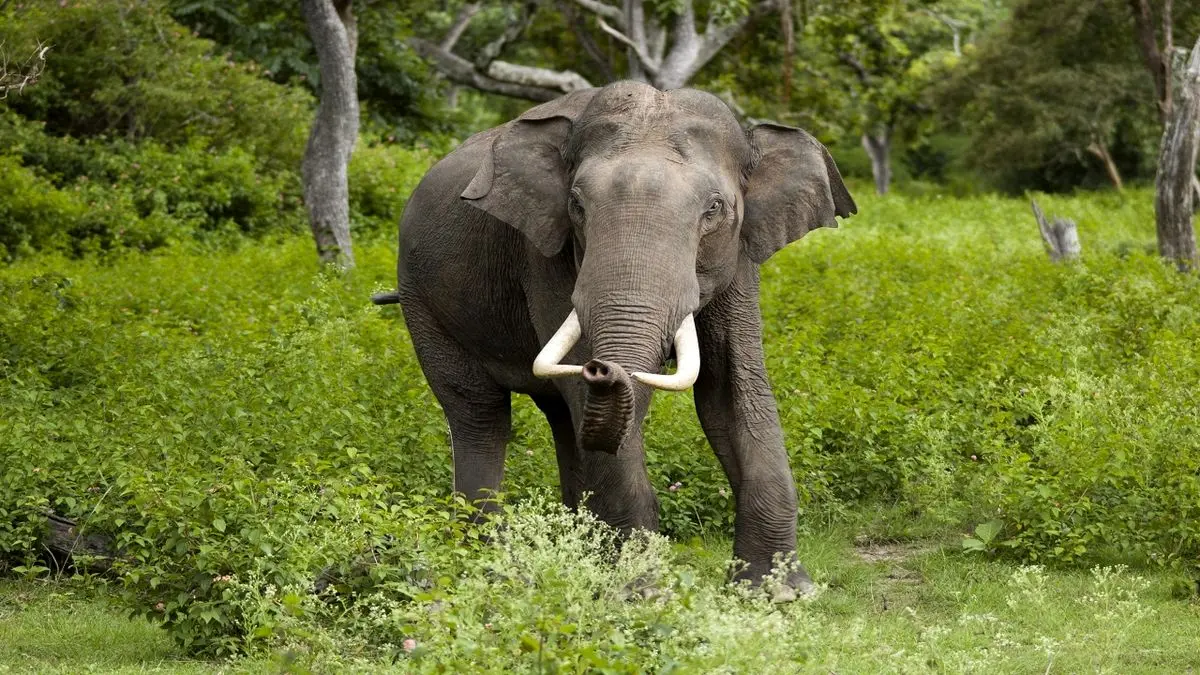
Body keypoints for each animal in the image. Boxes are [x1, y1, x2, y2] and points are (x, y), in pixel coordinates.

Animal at [374, 79, 854, 593]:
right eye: (577, 205)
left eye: (715, 209)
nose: (602, 367)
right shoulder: (545, 253)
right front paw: (640, 591)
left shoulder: (741, 254)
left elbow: (731, 390)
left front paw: (779, 592)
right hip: (421, 299)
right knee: (479, 414)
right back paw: (488, 561)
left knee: (561, 418)